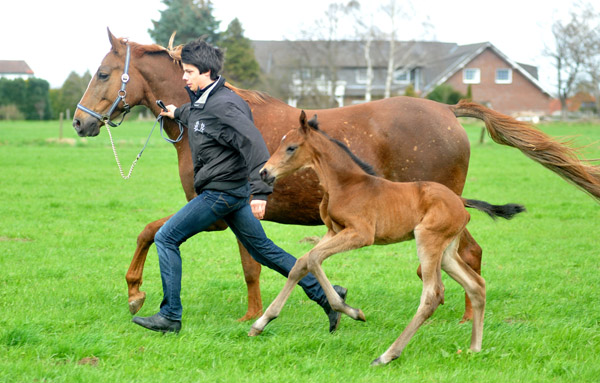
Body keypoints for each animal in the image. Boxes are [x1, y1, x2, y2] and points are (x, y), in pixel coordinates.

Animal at [251, 112, 524, 368]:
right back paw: (474, 348)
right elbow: (301, 263)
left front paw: (351, 311)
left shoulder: (361, 234)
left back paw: (387, 355)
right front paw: (261, 323)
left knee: (433, 294)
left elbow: (315, 258)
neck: (346, 184)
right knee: (476, 285)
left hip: (428, 240)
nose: (264, 172)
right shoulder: (333, 231)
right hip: (446, 252)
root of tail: (460, 201)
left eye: (291, 147)